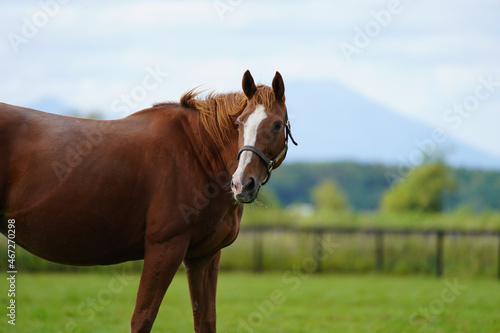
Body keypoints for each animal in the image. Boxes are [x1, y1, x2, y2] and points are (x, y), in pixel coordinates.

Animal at [0, 68, 296, 330]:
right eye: (239, 124)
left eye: (276, 125)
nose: (241, 184)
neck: (198, 152)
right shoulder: (165, 248)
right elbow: (142, 319)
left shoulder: (204, 256)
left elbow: (205, 321)